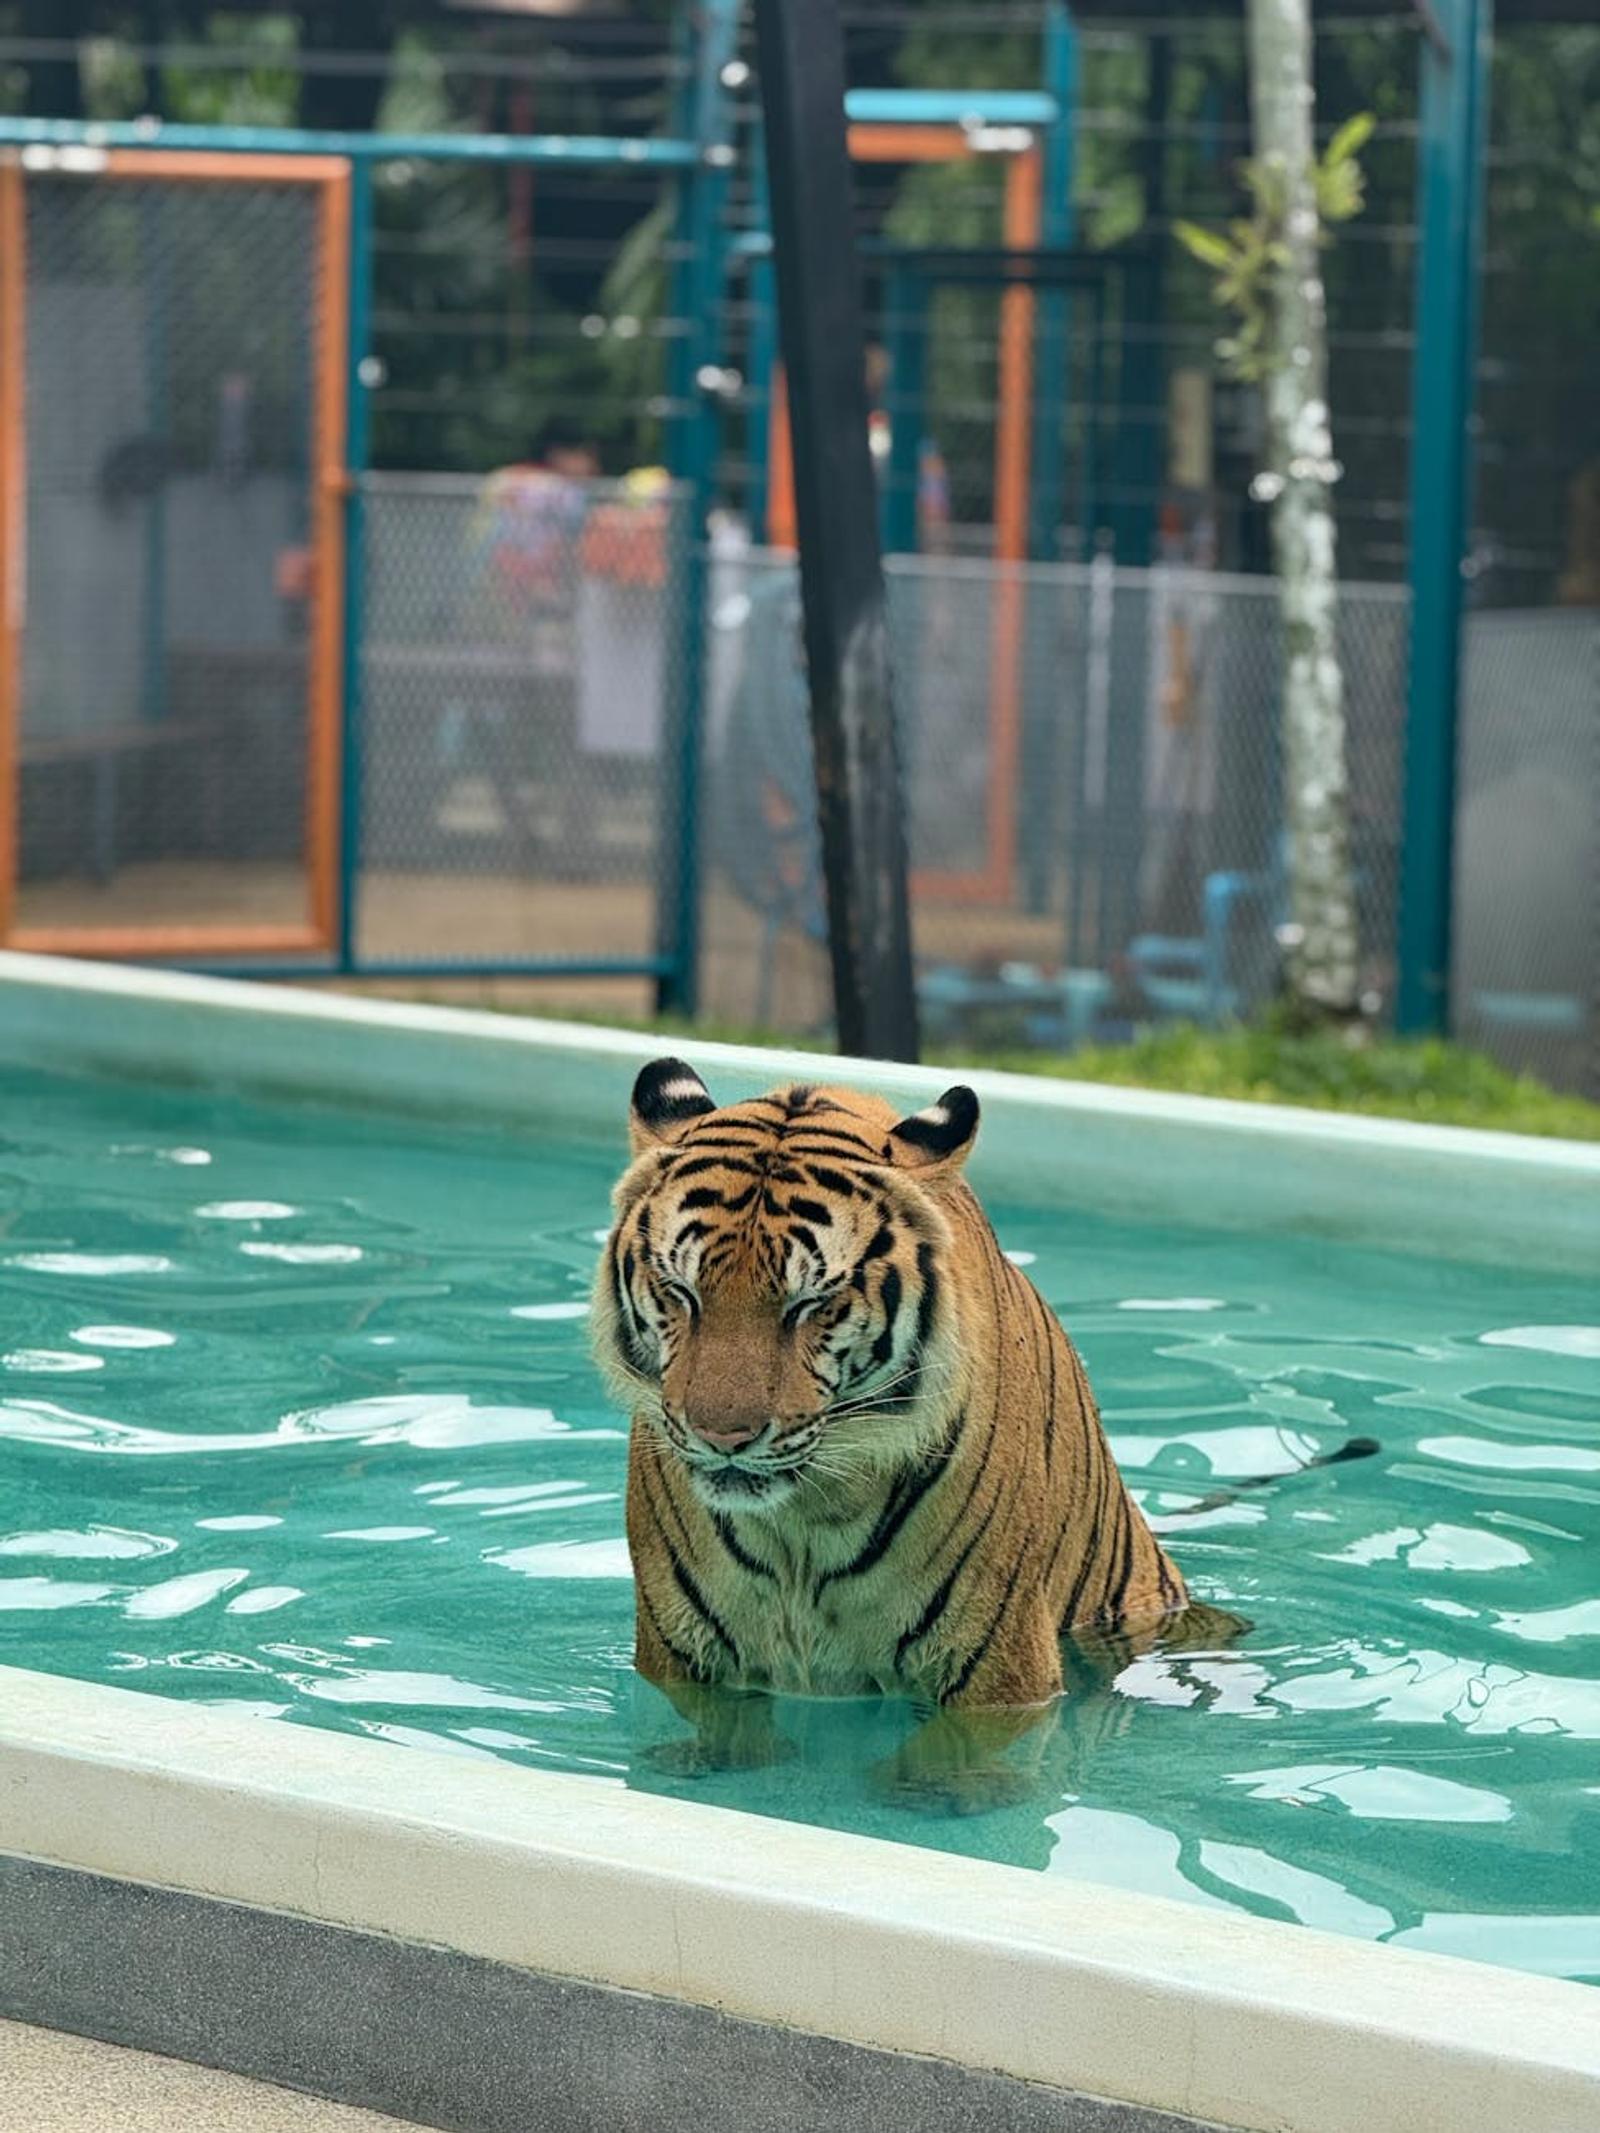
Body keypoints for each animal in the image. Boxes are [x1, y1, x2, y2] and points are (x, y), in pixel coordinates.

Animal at [591, 1057, 1236, 1809]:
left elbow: (964, 1750)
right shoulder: (682, 1649)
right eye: (680, 1291)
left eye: (811, 1304)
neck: (804, 1522)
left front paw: (930, 1793)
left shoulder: (997, 1660)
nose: (721, 1436)